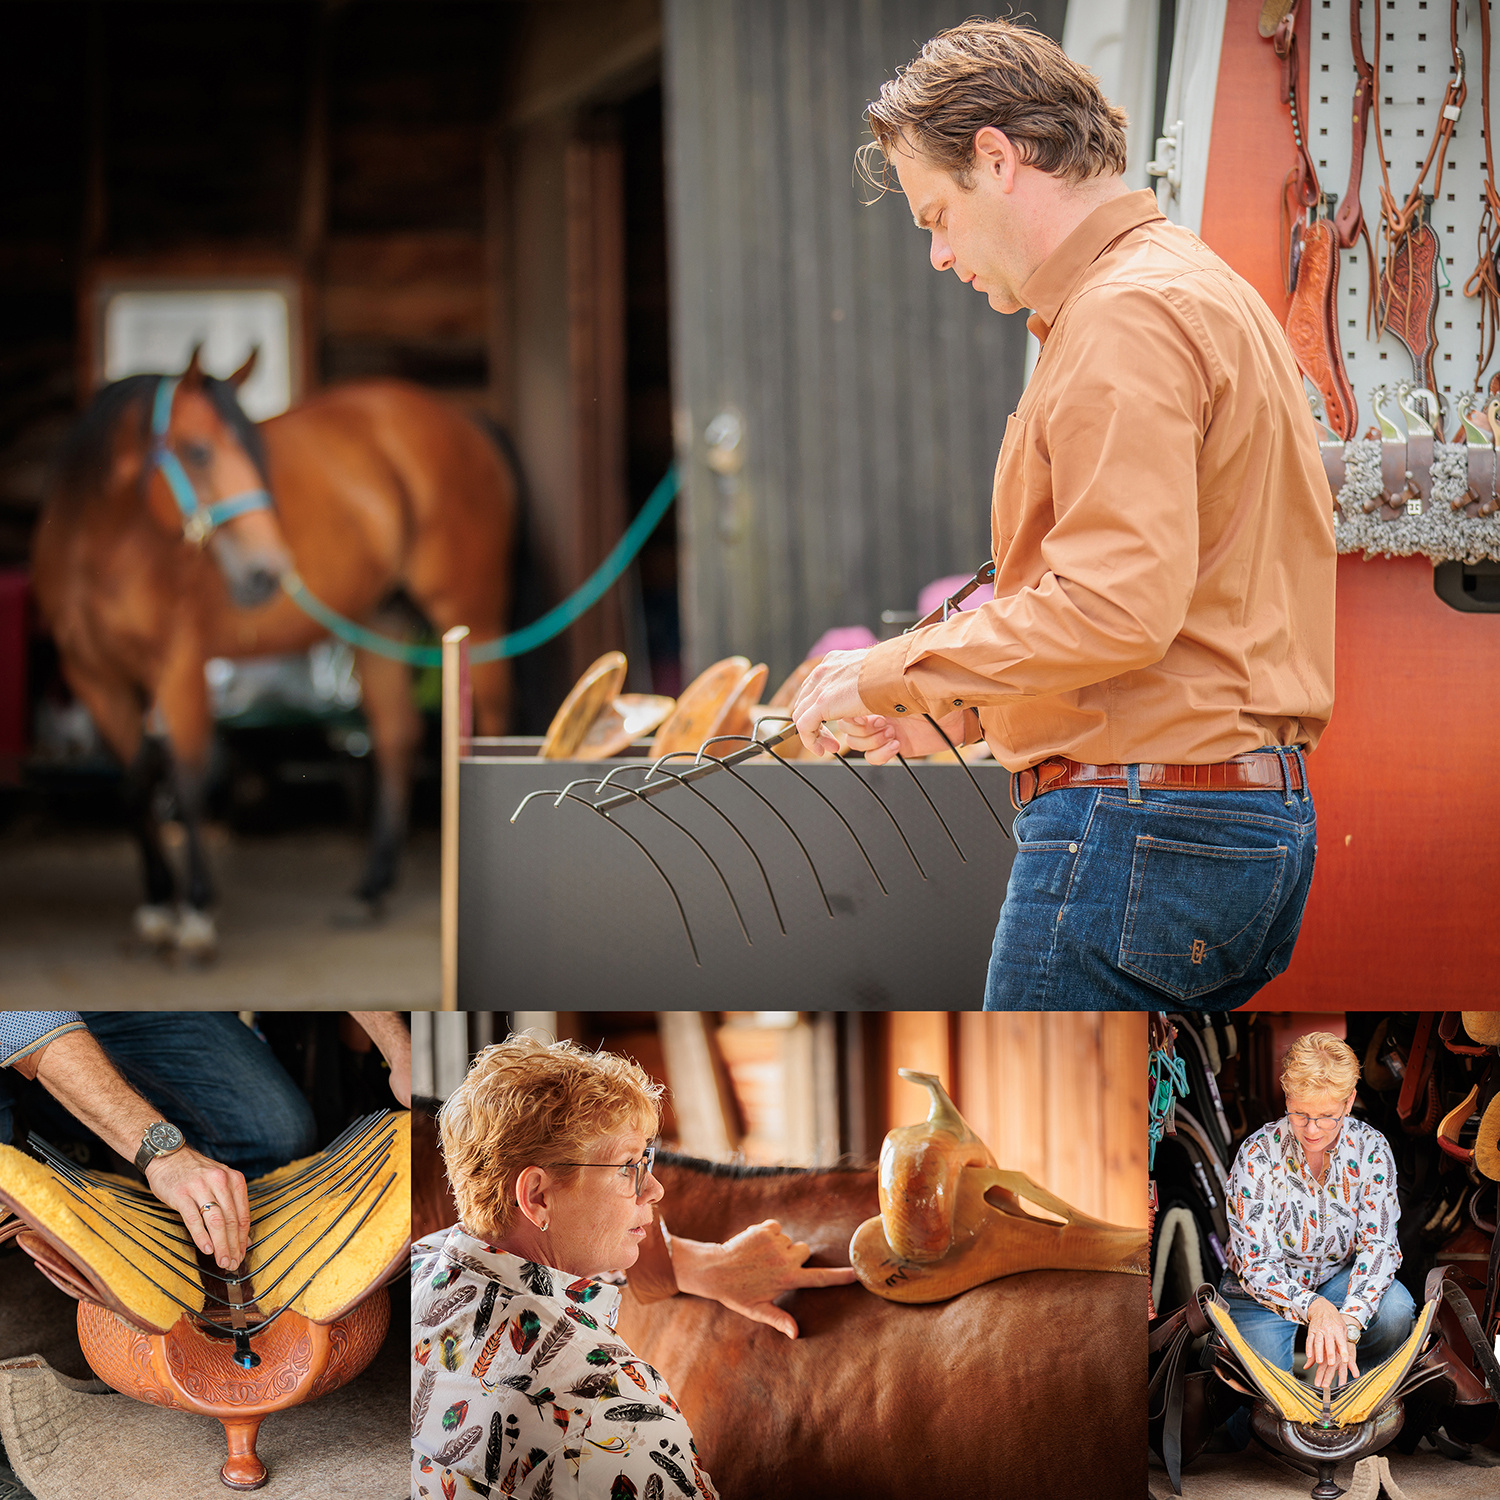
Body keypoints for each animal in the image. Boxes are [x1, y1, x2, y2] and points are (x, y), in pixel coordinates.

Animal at [30, 354, 516, 948]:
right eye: (198, 451)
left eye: (252, 451)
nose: (267, 571)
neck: (94, 545)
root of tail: (464, 418)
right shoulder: (92, 676)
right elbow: (135, 782)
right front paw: (157, 902)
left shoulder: (179, 666)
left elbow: (186, 778)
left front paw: (196, 911)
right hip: (381, 618)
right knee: (397, 737)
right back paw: (370, 890)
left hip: (473, 618)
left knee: (490, 717)